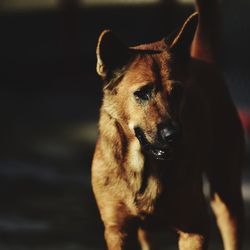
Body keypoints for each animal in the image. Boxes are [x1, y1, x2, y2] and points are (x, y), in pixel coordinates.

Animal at [91, 0, 244, 249]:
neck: (144, 166)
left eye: (178, 92)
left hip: (226, 195)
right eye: (142, 93)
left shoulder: (196, 230)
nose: (174, 135)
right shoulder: (118, 231)